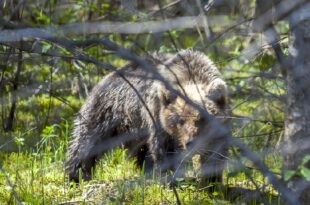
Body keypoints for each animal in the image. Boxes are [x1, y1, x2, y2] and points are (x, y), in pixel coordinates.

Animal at [66, 49, 230, 183]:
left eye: (201, 119)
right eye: (180, 121)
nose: (191, 142)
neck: (190, 75)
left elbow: (216, 153)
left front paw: (212, 182)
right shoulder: (158, 117)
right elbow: (164, 149)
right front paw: (172, 179)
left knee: (141, 150)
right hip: (106, 111)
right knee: (88, 142)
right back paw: (77, 175)